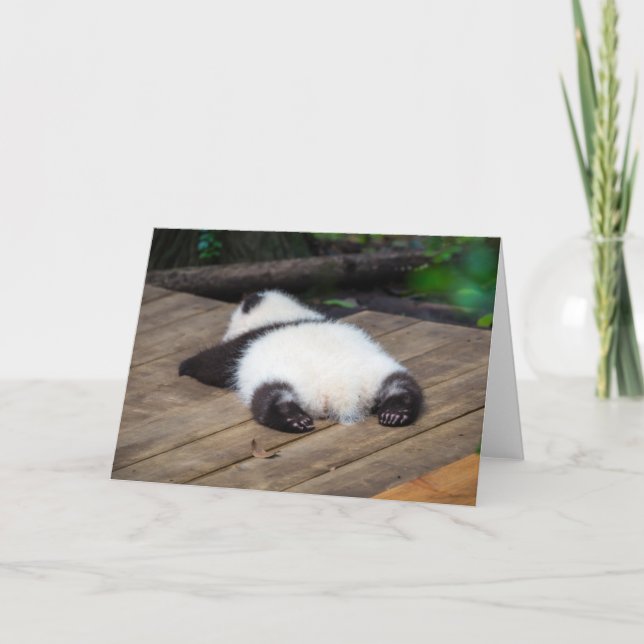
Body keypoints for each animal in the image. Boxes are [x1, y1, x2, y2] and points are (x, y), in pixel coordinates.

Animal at [179, 290, 423, 433]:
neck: (285, 315)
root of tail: (342, 391)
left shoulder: (243, 345)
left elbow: (214, 363)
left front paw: (185, 366)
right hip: (377, 372)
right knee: (402, 385)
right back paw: (396, 412)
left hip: (280, 377)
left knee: (269, 397)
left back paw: (293, 419)